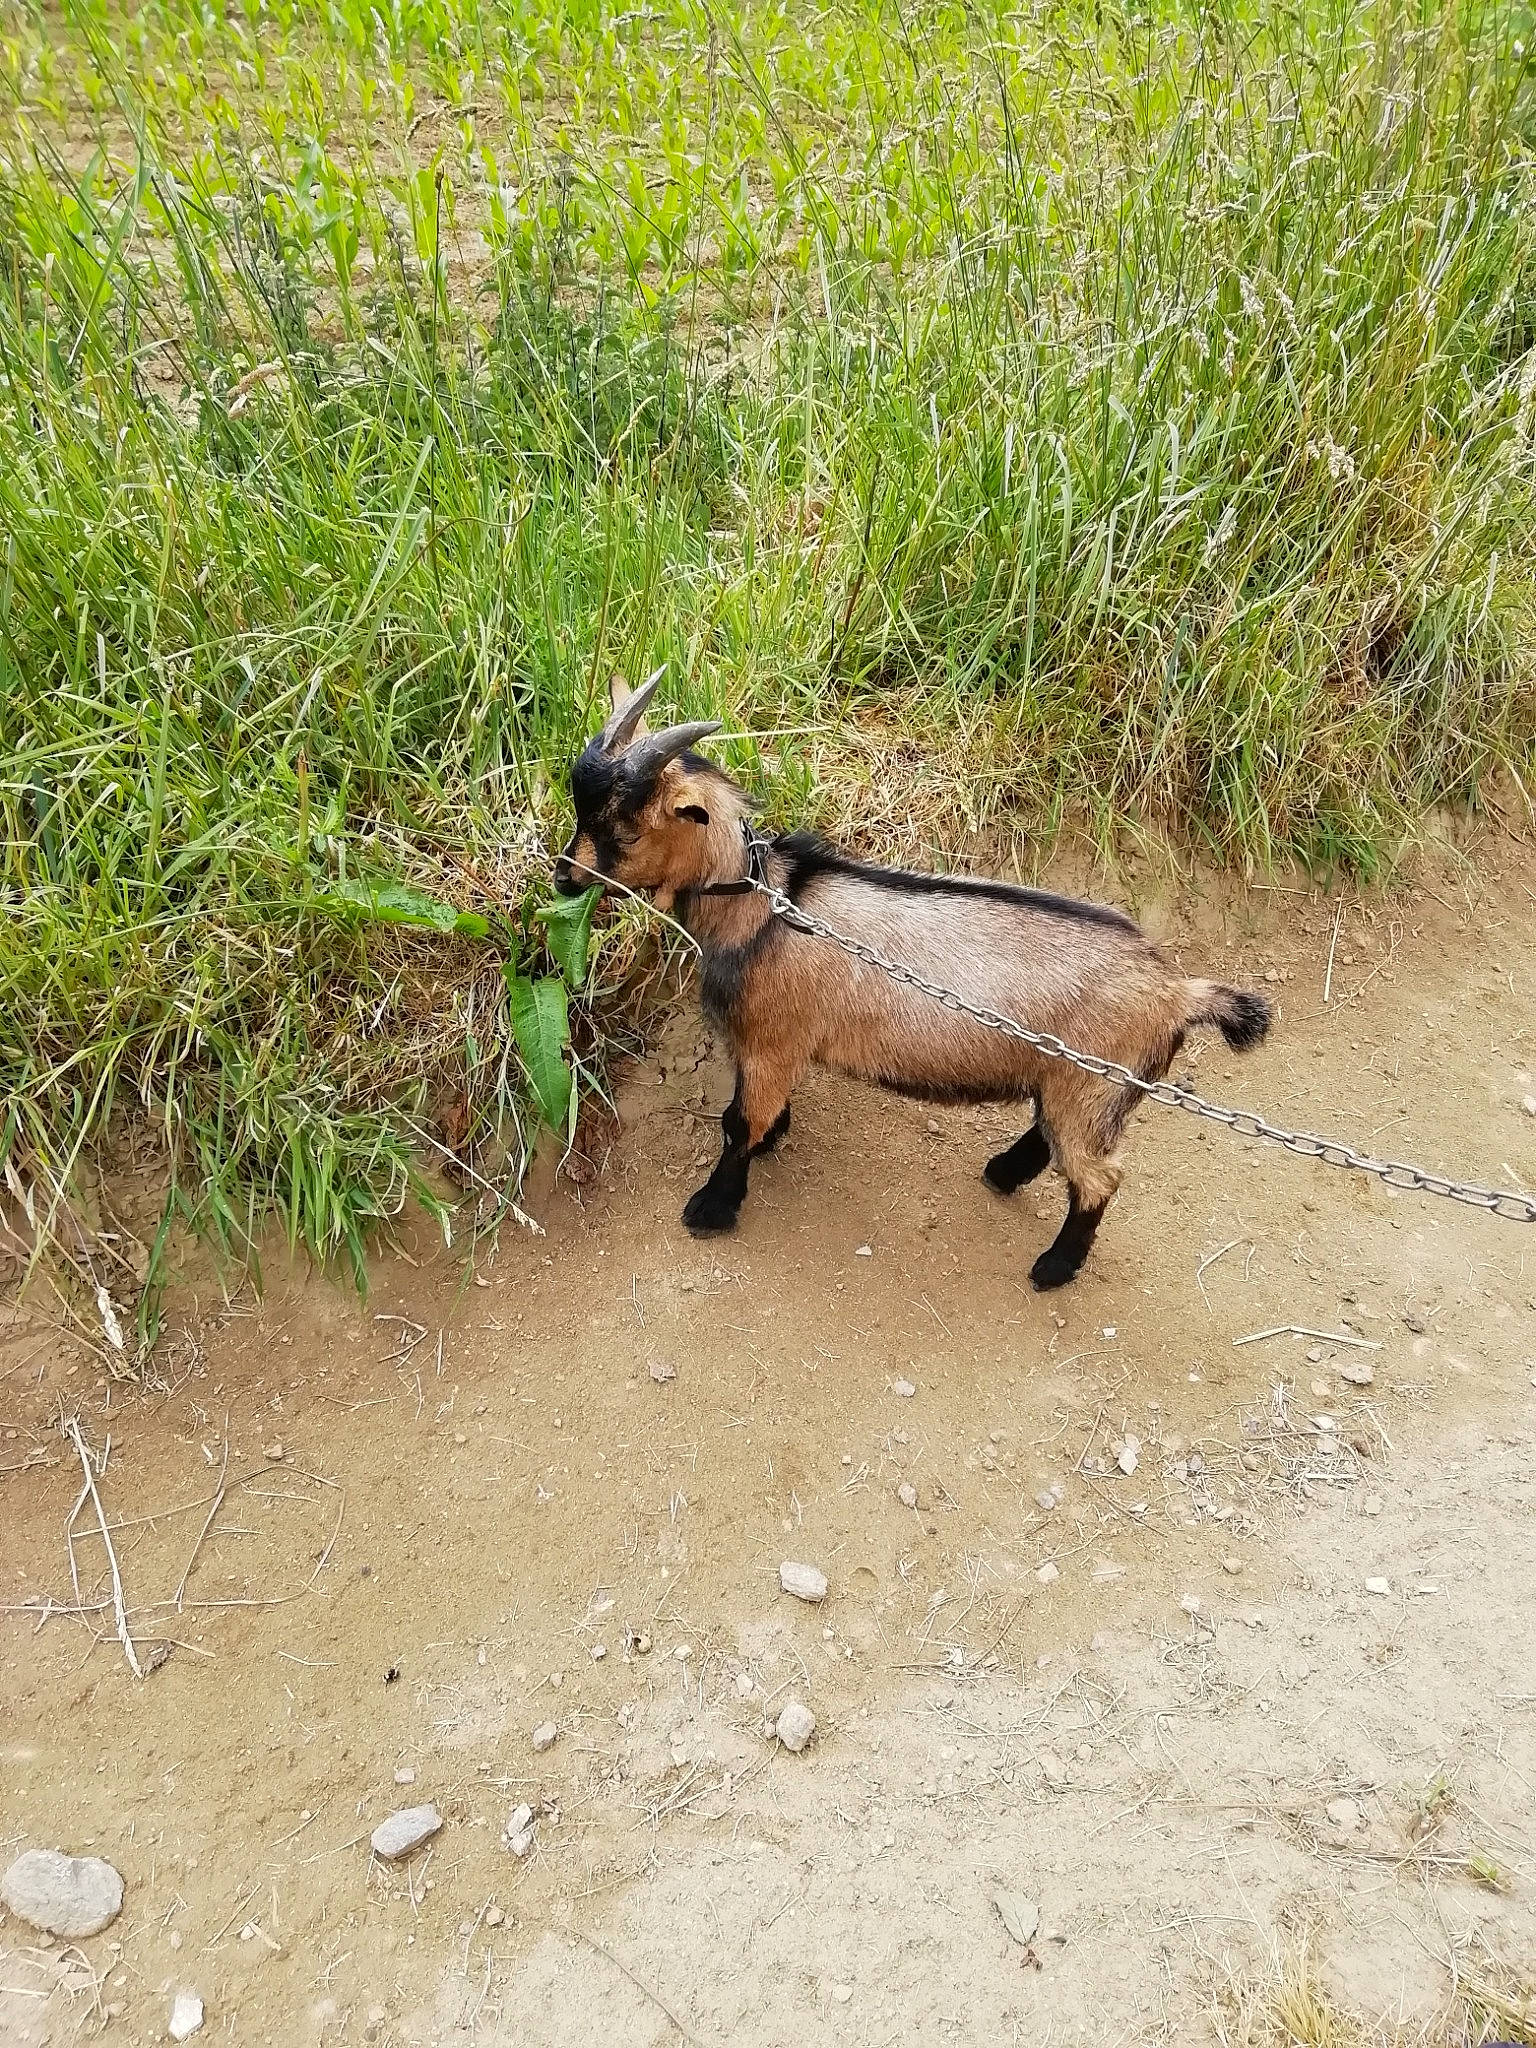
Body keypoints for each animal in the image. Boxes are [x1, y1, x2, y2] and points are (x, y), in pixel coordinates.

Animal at [555, 676, 1272, 1289]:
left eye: (622, 829)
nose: (563, 877)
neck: (764, 908)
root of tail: (1176, 992)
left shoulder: (772, 1043)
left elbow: (739, 1124)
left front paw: (713, 1206)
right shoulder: (763, 1047)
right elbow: (752, 1113)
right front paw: (772, 1143)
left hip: (1093, 1084)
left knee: (1098, 1178)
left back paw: (1054, 1267)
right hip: (1070, 1079)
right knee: (1051, 1137)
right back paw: (1004, 1173)